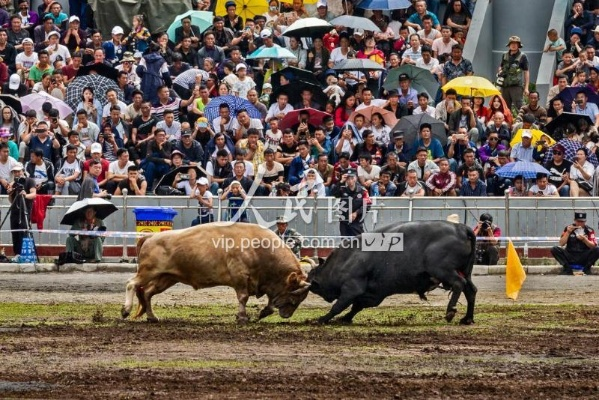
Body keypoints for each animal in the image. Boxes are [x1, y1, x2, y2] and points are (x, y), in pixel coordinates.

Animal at [120, 223, 312, 324]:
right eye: (294, 296)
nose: (287, 315)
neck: (259, 249)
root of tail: (149, 238)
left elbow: (270, 303)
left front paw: (262, 312)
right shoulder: (240, 278)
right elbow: (243, 298)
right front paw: (242, 317)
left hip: (166, 278)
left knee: (147, 293)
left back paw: (152, 317)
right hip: (148, 272)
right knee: (131, 283)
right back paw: (126, 310)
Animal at [310, 222, 478, 324]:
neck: (347, 258)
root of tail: (460, 228)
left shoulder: (352, 288)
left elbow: (339, 306)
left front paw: (321, 319)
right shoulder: (374, 294)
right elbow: (356, 306)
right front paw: (345, 318)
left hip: (444, 271)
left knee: (459, 284)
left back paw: (450, 311)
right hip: (465, 272)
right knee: (471, 290)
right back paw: (467, 318)